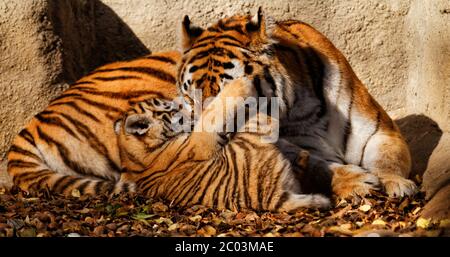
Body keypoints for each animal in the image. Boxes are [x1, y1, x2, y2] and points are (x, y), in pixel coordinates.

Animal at [114, 77, 328, 211]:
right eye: (172, 108)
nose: (189, 109)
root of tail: (276, 200)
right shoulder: (198, 142)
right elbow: (213, 113)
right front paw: (238, 84)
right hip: (251, 134)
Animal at [178, 8, 416, 198]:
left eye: (227, 95)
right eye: (190, 97)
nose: (200, 144)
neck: (301, 105)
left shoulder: (380, 130)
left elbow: (387, 157)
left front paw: (396, 183)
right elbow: (319, 167)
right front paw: (356, 182)